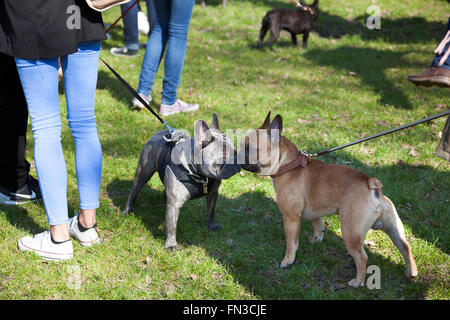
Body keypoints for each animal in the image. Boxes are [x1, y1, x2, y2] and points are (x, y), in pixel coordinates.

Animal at [239, 112, 418, 288]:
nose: (237, 153)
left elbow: (291, 242)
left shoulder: (290, 218)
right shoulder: (314, 212)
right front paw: (316, 240)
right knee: (405, 247)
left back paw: (357, 282)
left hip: (350, 231)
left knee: (362, 257)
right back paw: (411, 272)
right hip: (393, 227)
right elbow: (317, 225)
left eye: (250, 149)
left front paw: (288, 261)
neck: (288, 165)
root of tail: (371, 184)